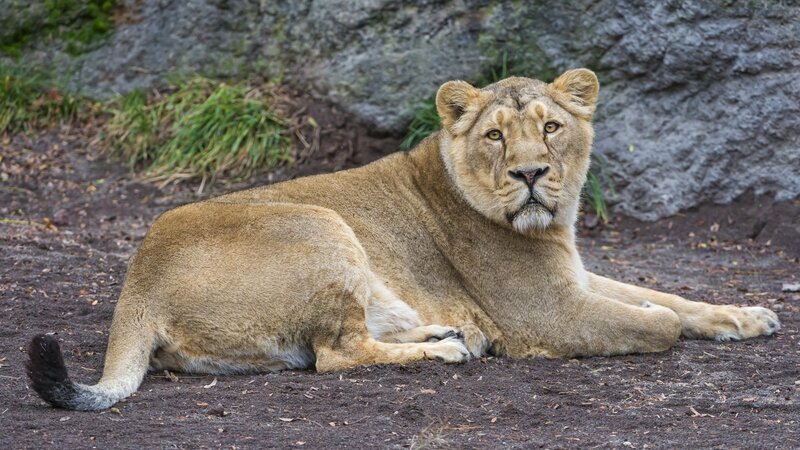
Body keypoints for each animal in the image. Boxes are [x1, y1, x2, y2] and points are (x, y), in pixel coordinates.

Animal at [27, 69, 780, 411]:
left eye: (551, 127)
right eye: (496, 135)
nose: (531, 173)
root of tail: (137, 283)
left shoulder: (573, 276)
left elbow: (674, 300)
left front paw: (748, 315)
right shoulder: (548, 313)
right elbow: (657, 324)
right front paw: (659, 319)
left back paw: (446, 335)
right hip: (319, 223)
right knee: (334, 355)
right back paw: (448, 349)